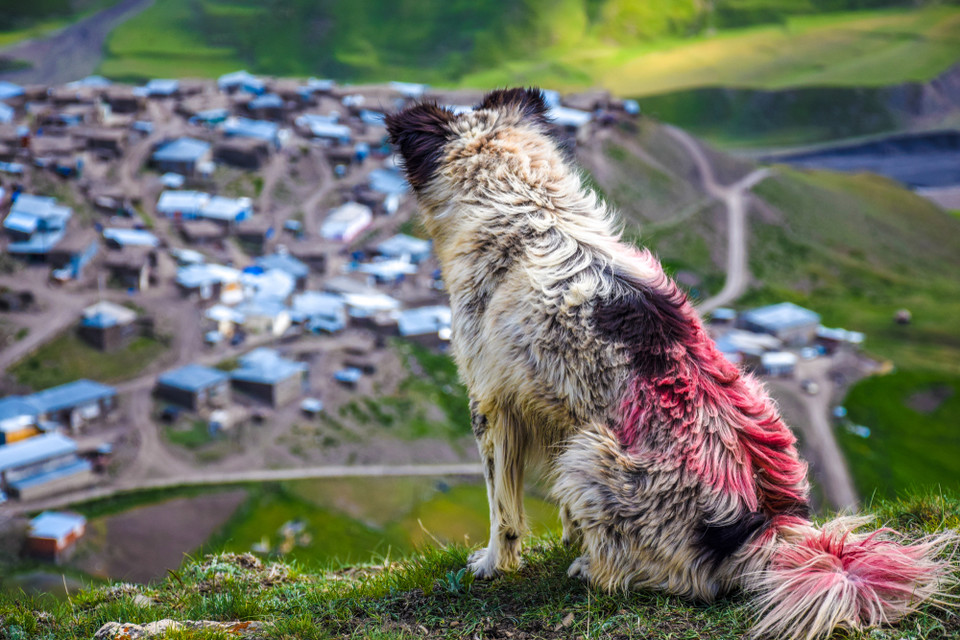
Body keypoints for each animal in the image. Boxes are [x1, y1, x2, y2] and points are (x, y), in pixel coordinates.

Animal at [382, 86, 952, 640]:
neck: (526, 203)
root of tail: (763, 530)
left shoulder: (490, 403)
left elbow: (502, 508)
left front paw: (492, 564)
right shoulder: (552, 406)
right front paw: (568, 535)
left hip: (592, 455)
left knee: (665, 578)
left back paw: (592, 569)